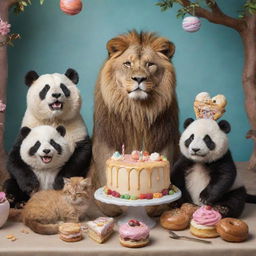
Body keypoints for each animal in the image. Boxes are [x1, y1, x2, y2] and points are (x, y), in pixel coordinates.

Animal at [91, 30, 179, 216]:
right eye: (127, 63)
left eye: (150, 64)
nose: (139, 78)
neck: (137, 111)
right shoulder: (104, 147)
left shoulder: (164, 143)